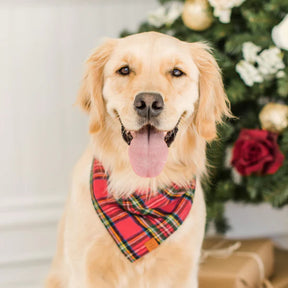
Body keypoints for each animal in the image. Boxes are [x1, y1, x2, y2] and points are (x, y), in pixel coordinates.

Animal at [45, 32, 230, 288]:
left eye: (176, 72)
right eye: (124, 70)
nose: (149, 103)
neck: (143, 186)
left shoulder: (184, 269)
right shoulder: (84, 268)